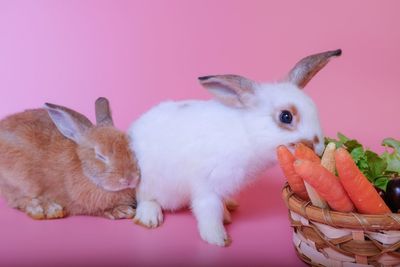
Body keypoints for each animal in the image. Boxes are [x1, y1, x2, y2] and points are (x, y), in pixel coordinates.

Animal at [0, 98, 140, 220]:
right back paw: (48, 209)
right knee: (18, 199)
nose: (131, 179)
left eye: (131, 147)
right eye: (100, 155)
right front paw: (122, 211)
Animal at [128, 49, 340, 246]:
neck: (246, 133)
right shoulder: (207, 186)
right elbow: (208, 210)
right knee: (145, 198)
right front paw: (218, 239)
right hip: (149, 182)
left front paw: (225, 216)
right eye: (286, 116)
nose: (318, 148)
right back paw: (150, 218)